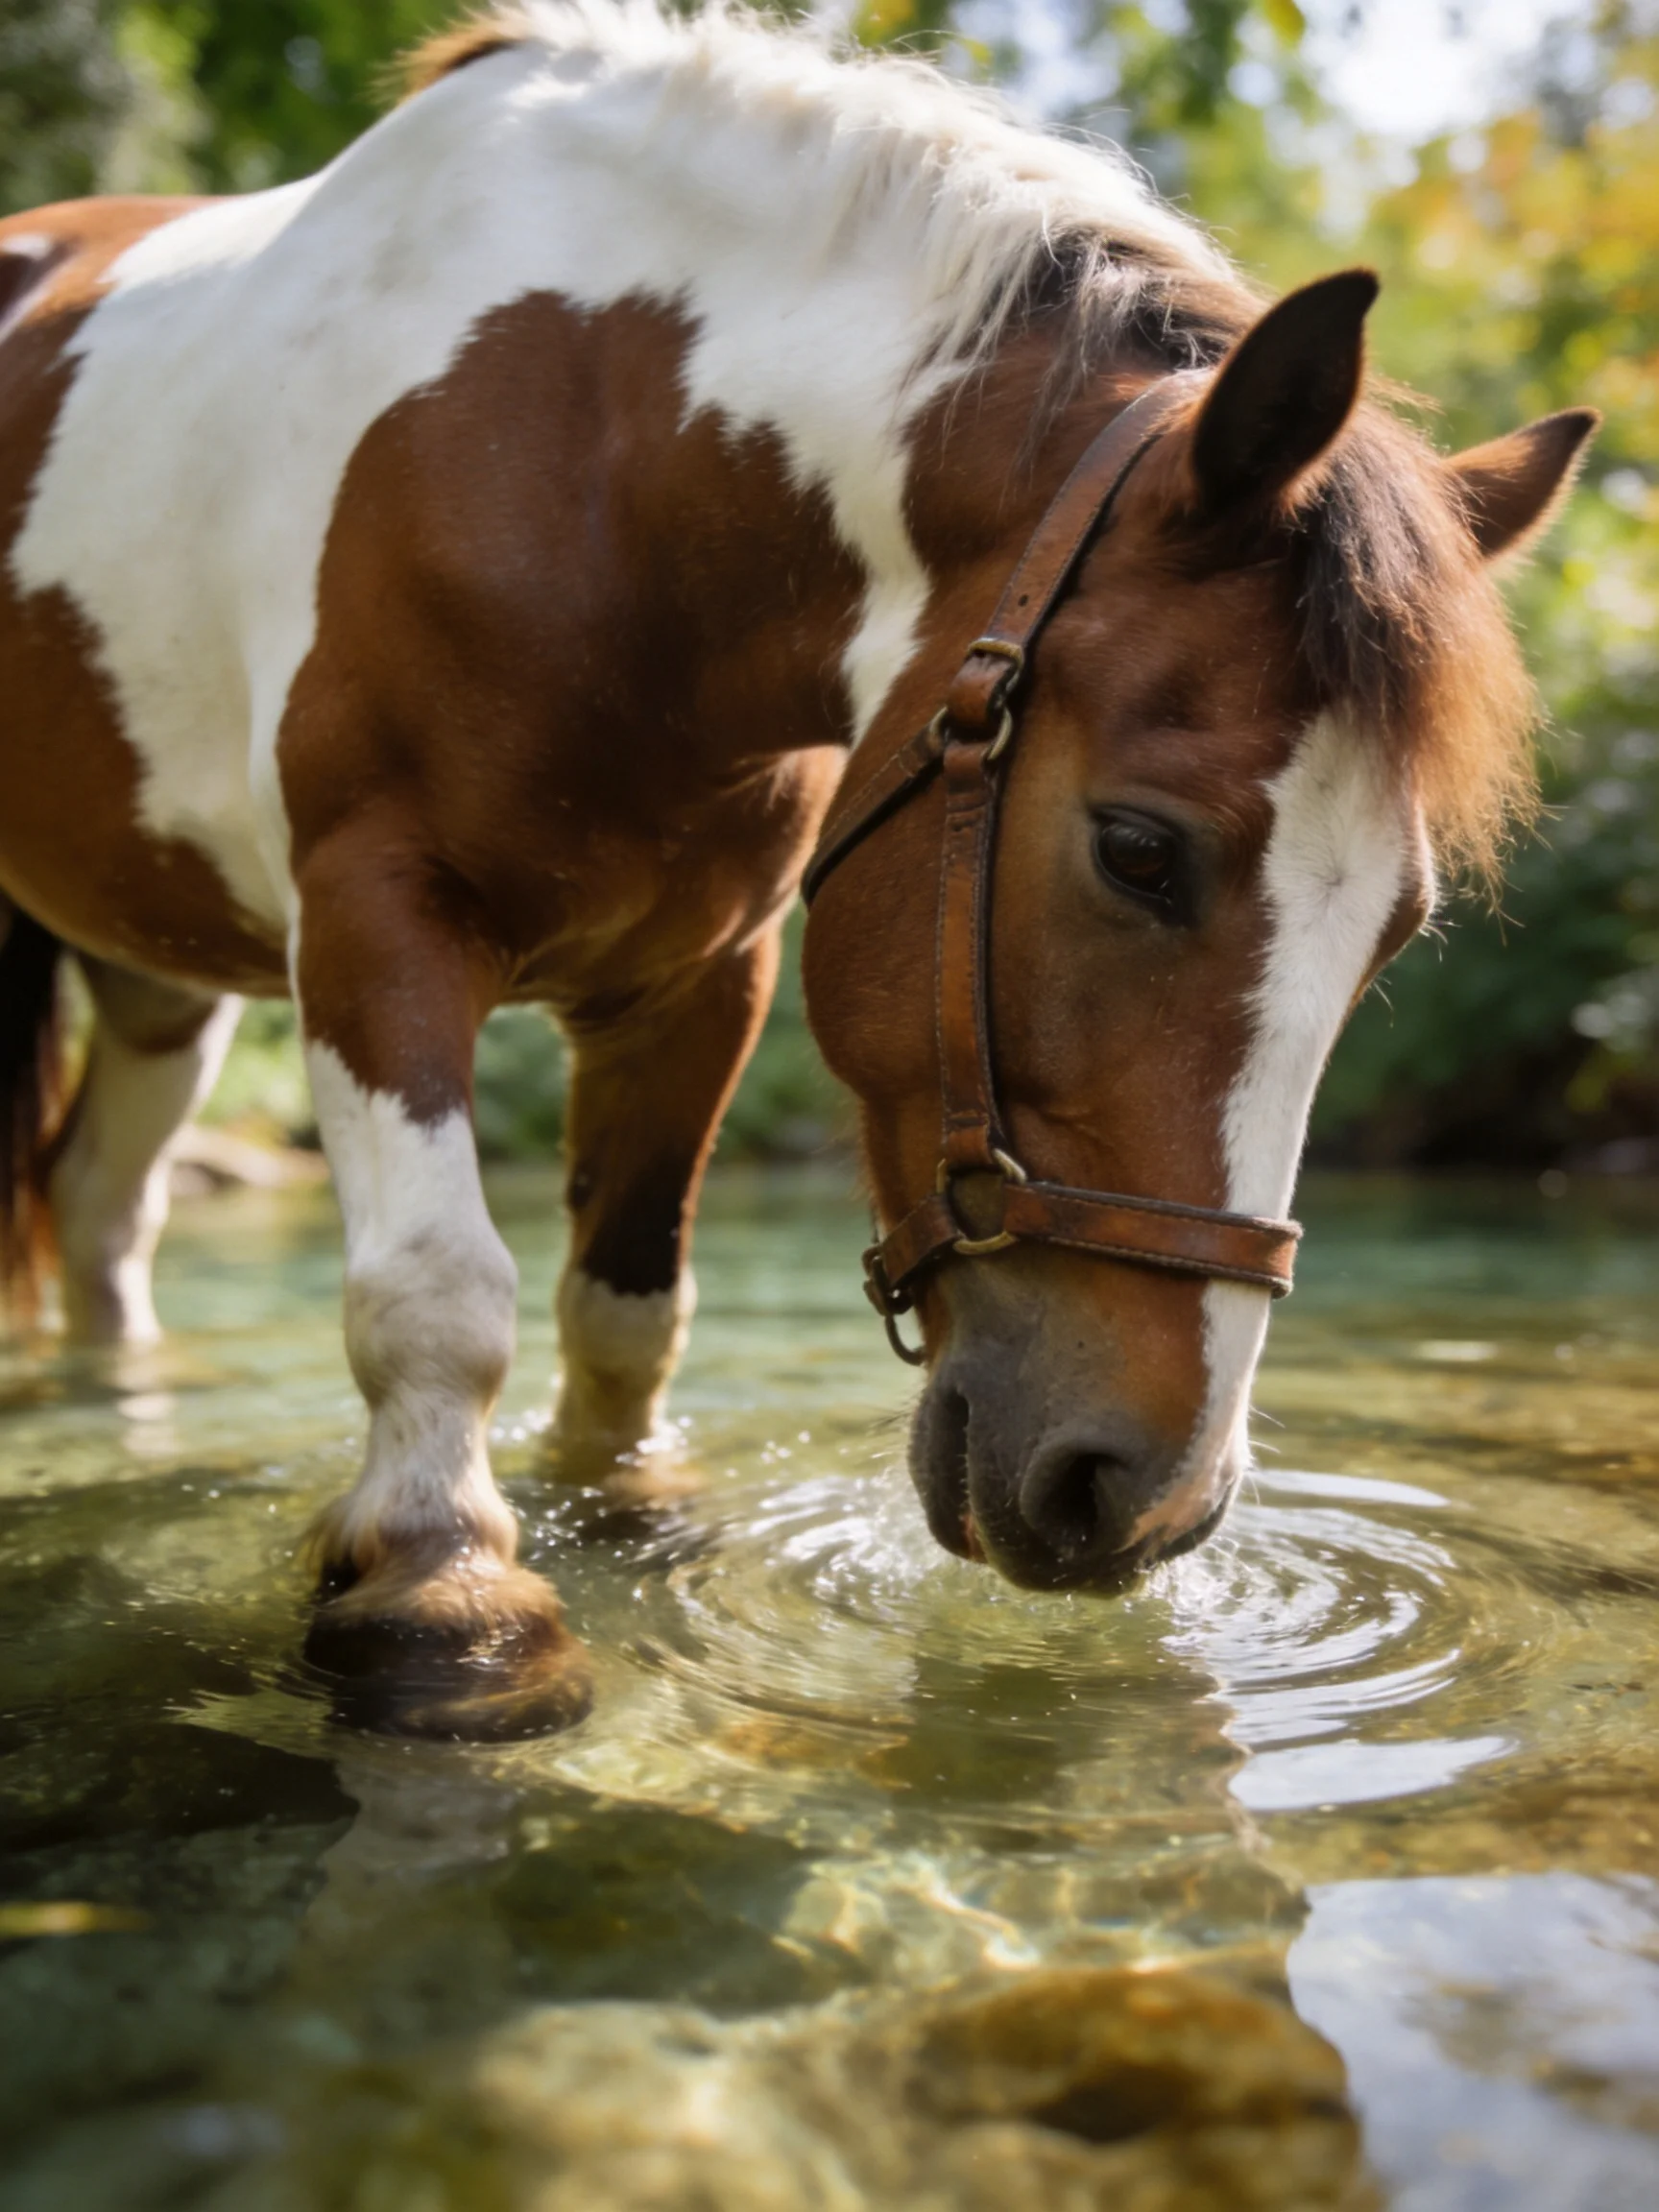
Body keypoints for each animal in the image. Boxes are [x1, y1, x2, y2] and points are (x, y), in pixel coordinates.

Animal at [0, 2, 1592, 1738]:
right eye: (1138, 849)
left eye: (1395, 929)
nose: (1146, 1497)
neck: (588, 461)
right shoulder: (376, 915)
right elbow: (435, 1290)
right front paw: (445, 1591)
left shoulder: (699, 976)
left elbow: (626, 1308)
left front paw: (621, 1521)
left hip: (156, 983)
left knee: (103, 1221)